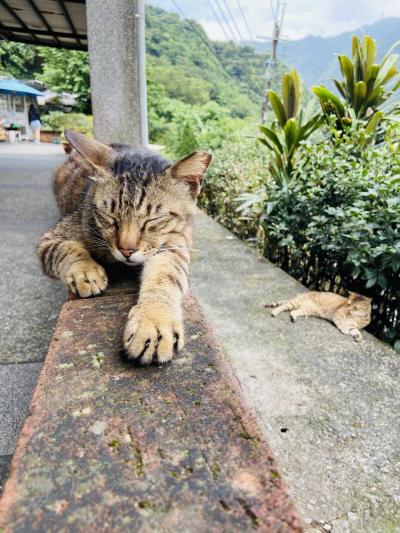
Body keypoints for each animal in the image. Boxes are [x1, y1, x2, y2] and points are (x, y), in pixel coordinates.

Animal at [38, 129, 212, 364]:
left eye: (152, 220)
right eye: (110, 217)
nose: (126, 250)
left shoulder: (175, 245)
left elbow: (166, 276)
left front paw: (154, 321)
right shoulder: (50, 238)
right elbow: (67, 249)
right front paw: (86, 272)